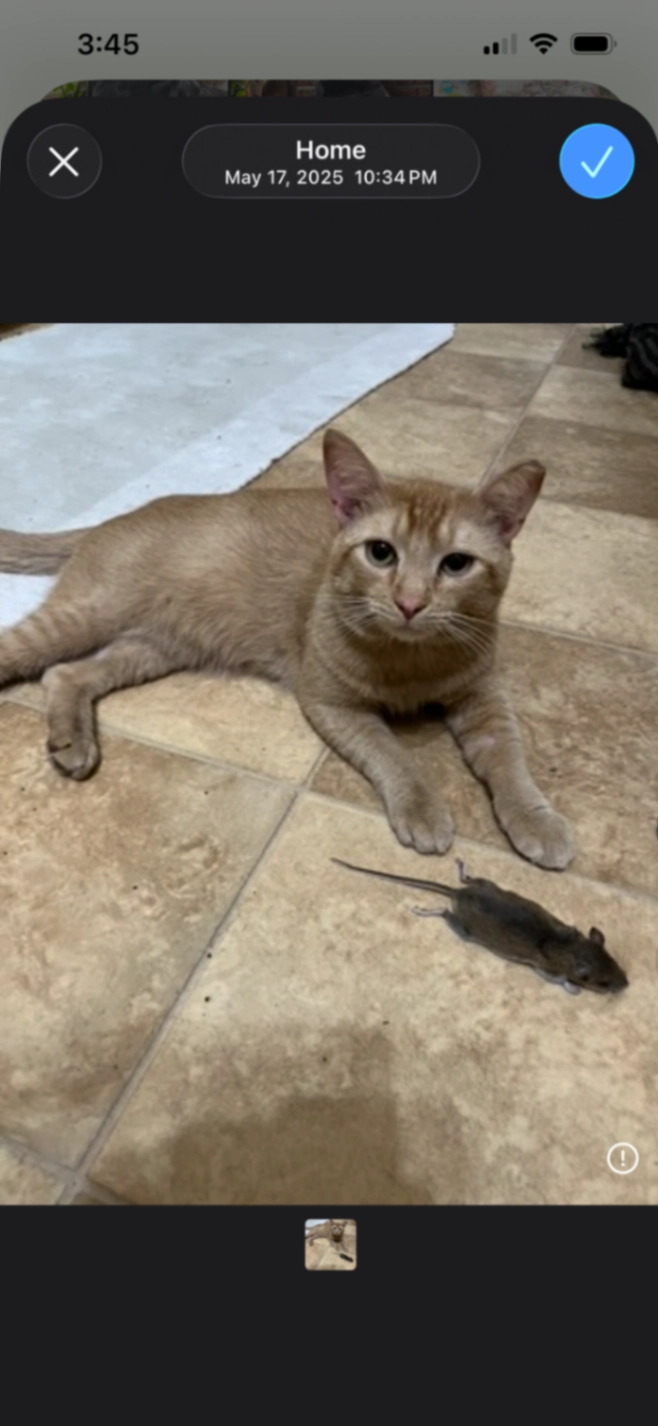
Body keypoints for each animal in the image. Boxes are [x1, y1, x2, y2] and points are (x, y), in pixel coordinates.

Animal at [0, 428, 574, 868]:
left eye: (456, 564)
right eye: (381, 553)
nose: (410, 603)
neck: (411, 658)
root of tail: (109, 520)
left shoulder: (483, 697)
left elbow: (509, 760)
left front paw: (536, 820)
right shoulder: (333, 704)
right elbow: (394, 756)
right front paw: (423, 808)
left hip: (151, 648)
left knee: (65, 675)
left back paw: (72, 740)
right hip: (88, 616)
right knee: (29, 654)